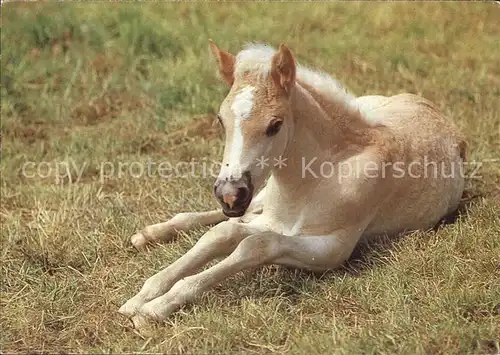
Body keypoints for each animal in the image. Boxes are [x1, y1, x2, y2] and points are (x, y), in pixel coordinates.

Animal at [119, 41, 466, 328]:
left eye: (275, 125)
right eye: (220, 120)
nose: (230, 194)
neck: (312, 183)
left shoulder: (332, 249)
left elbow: (255, 244)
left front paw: (155, 308)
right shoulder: (267, 218)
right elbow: (222, 233)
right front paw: (142, 297)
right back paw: (150, 234)